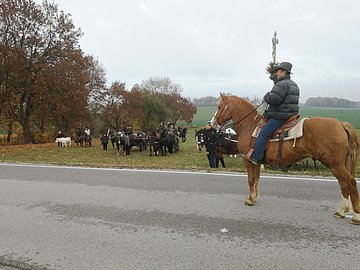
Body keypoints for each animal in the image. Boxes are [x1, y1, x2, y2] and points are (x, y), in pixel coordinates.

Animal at [211, 94, 360, 225]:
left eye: (219, 106)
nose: (212, 123)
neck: (250, 126)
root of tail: (341, 124)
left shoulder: (248, 161)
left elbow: (251, 180)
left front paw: (250, 200)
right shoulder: (257, 162)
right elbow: (257, 180)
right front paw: (254, 197)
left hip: (335, 165)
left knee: (350, 183)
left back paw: (355, 217)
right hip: (339, 164)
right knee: (343, 184)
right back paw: (341, 212)